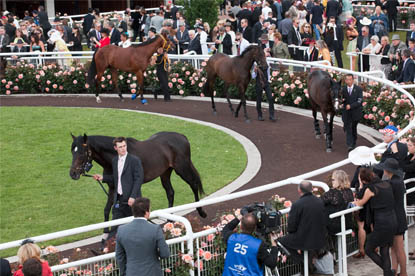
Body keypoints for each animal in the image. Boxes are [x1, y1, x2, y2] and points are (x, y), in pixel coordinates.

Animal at [71, 133, 208, 232]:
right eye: (72, 151)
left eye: (82, 153)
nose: (72, 173)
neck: (114, 157)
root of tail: (183, 137)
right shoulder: (113, 188)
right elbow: (107, 210)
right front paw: (105, 236)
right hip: (165, 172)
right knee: (170, 192)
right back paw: (169, 221)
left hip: (182, 168)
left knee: (193, 184)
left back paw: (201, 212)